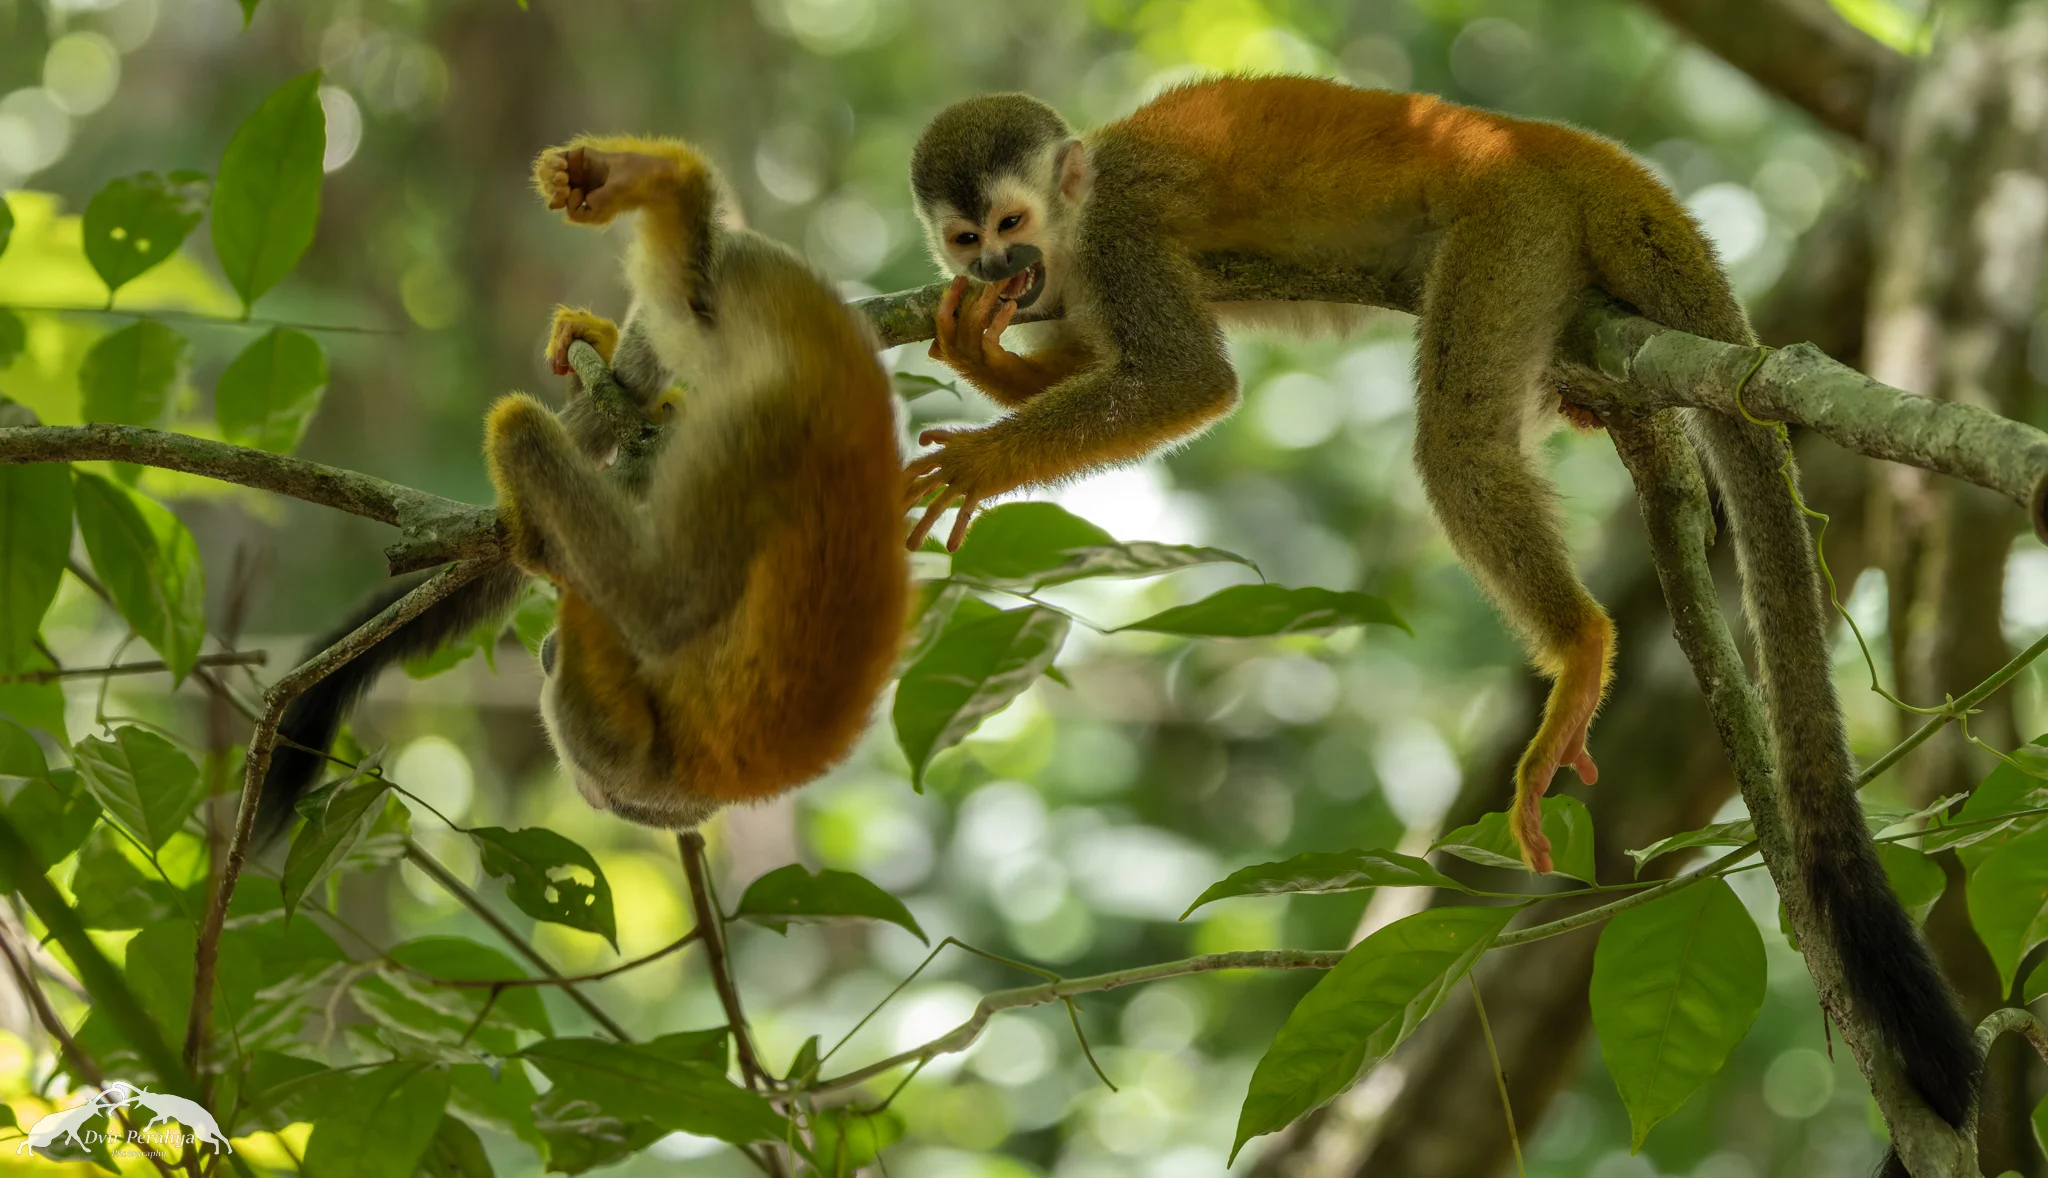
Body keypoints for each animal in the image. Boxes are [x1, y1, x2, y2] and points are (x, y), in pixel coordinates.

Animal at [258, 135, 907, 836]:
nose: (550, 654)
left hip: (759, 420)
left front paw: (552, 551)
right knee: (687, 299)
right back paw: (653, 186)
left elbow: (656, 605)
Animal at [903, 78, 1978, 1154]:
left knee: (1458, 441)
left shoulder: (1120, 238)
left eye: (1009, 223)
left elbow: (1184, 379)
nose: (994, 268)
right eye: (964, 238)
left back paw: (1580, 644)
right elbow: (1100, 361)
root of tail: (1533, 137)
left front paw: (985, 459)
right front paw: (981, 351)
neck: (1074, 226)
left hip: (1508, 228)